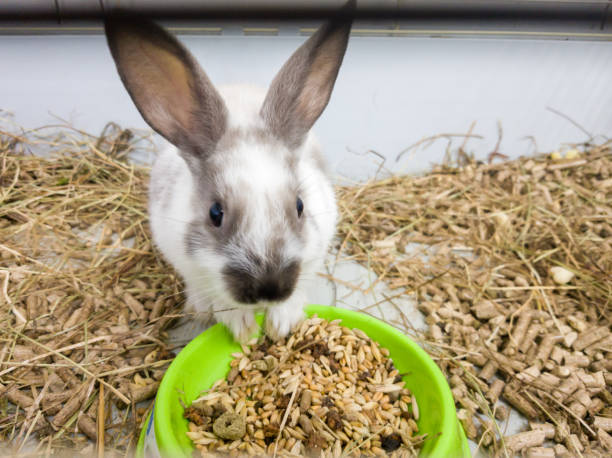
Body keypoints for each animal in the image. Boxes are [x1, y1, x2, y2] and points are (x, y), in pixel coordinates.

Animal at [105, 10, 352, 342]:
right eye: (215, 213)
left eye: (300, 206)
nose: (268, 289)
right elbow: (219, 299)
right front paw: (244, 329)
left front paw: (280, 323)